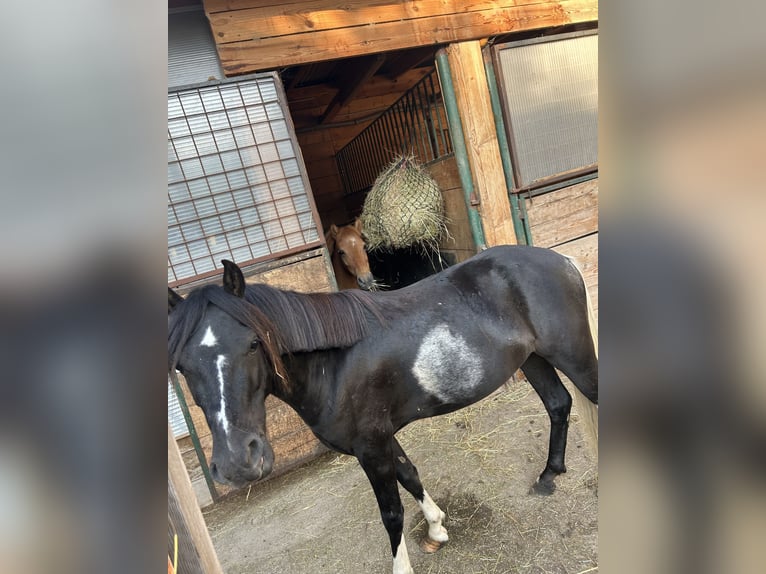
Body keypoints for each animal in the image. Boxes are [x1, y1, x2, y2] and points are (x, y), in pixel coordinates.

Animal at [168, 245, 598, 574]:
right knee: (558, 404)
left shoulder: (370, 446)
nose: (237, 463)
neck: (334, 362)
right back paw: (548, 476)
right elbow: (410, 475)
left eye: (253, 344)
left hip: (572, 356)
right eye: (181, 366)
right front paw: (437, 530)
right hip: (534, 359)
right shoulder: (381, 437)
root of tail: (561, 260)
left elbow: (391, 512)